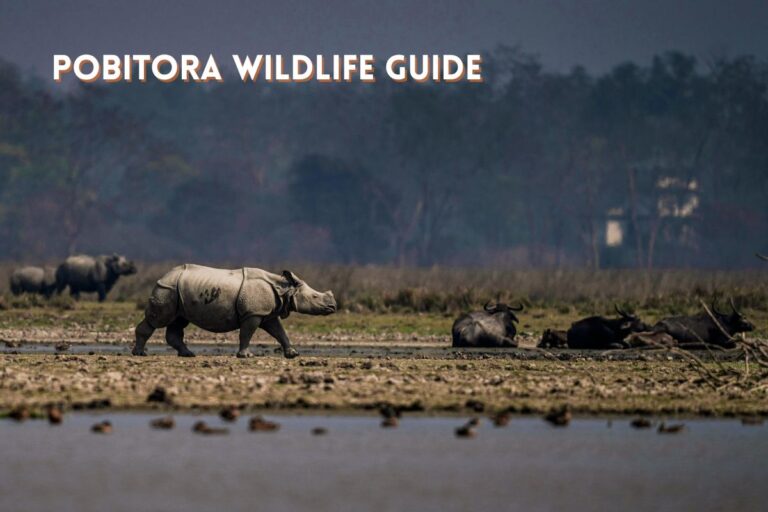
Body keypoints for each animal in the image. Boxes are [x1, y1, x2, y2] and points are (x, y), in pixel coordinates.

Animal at [131, 264, 337, 358]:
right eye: (315, 297)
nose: (333, 307)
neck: (284, 288)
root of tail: (164, 275)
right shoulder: (253, 313)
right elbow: (247, 333)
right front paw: (246, 356)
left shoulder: (266, 313)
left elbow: (280, 332)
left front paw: (293, 354)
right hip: (167, 288)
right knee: (157, 321)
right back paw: (140, 354)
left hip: (177, 292)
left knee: (178, 321)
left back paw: (188, 354)